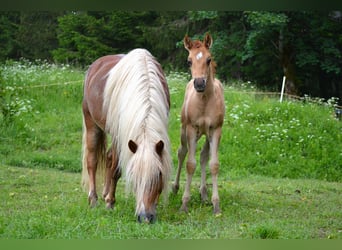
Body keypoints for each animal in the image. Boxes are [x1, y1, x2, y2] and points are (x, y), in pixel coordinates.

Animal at [81, 48, 172, 223]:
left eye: (158, 175)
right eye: (134, 175)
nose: (145, 217)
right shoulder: (120, 136)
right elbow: (116, 170)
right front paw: (110, 203)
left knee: (108, 156)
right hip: (92, 124)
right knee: (92, 161)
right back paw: (94, 199)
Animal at [172, 33, 226, 215]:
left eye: (208, 59)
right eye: (189, 61)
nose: (200, 83)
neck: (204, 100)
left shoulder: (216, 130)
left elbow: (213, 164)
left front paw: (216, 205)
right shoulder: (191, 129)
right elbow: (190, 164)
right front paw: (184, 204)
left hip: (206, 134)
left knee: (203, 156)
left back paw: (203, 193)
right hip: (184, 131)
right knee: (182, 153)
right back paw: (175, 187)